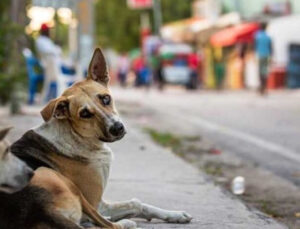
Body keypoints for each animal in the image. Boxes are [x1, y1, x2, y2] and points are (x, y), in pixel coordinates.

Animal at [11, 47, 192, 228]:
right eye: (85, 114)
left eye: (106, 98)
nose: (117, 128)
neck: (77, 137)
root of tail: (41, 207)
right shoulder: (96, 203)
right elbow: (134, 204)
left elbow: (139, 204)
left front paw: (175, 215)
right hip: (56, 178)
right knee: (107, 224)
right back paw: (124, 223)